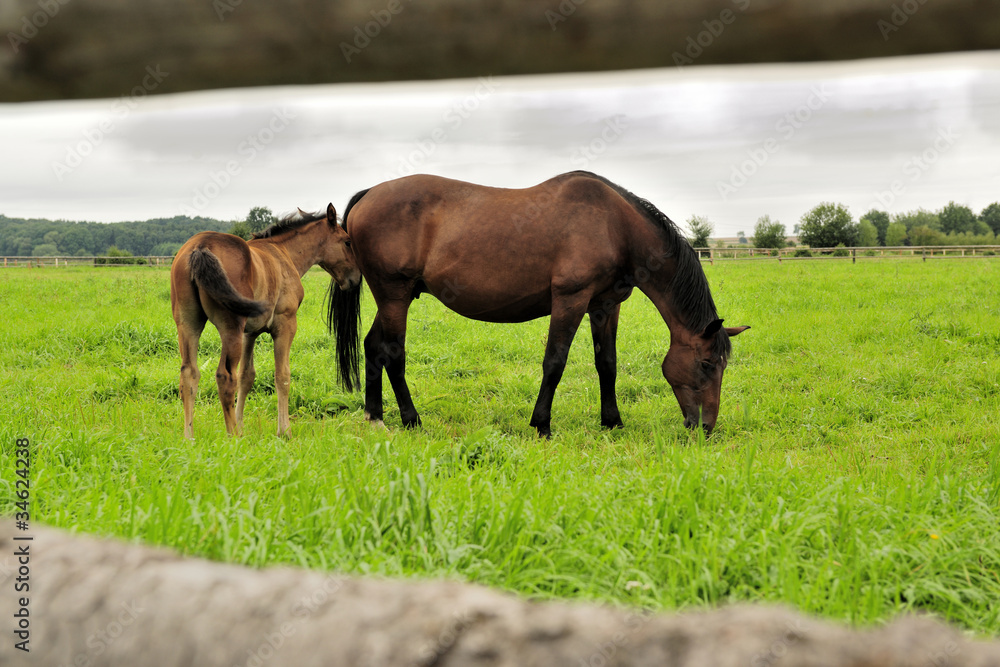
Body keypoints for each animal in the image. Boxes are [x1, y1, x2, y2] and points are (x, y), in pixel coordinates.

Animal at [170, 204, 360, 438]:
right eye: (347, 241)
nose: (356, 278)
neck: (283, 253)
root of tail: (200, 247)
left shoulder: (249, 333)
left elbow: (246, 376)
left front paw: (242, 424)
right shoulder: (285, 325)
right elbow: (282, 376)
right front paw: (284, 431)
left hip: (189, 324)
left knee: (189, 374)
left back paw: (190, 437)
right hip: (230, 328)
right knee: (225, 377)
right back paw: (233, 436)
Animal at [329, 172, 749, 437]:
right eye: (707, 364)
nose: (705, 428)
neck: (615, 226)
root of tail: (369, 194)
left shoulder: (605, 305)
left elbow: (607, 364)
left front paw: (612, 421)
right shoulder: (570, 299)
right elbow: (555, 363)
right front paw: (542, 424)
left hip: (394, 298)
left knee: (373, 347)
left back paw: (375, 417)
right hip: (395, 295)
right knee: (393, 354)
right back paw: (411, 419)